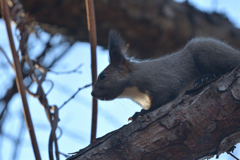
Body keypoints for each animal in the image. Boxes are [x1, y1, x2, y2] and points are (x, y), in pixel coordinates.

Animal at [91, 30, 240, 120]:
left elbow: (163, 97)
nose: (93, 93)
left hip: (206, 51)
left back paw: (206, 77)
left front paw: (141, 113)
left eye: (103, 76)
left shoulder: (160, 82)